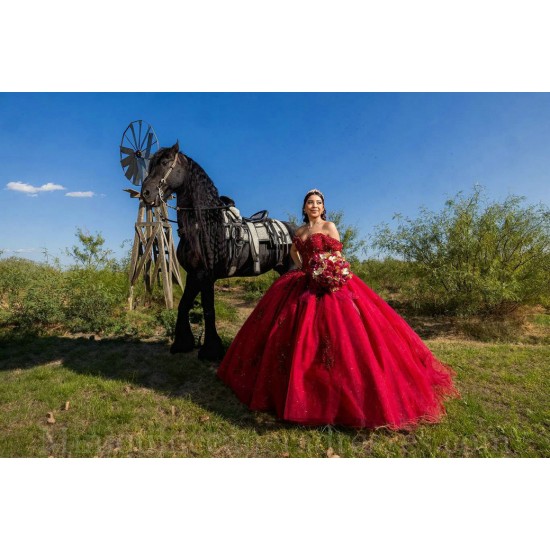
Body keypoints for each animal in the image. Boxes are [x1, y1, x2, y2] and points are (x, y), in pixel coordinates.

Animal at [140, 143, 300, 362]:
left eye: (165, 162)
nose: (145, 193)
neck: (202, 226)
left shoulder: (206, 275)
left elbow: (208, 310)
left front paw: (211, 350)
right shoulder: (193, 274)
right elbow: (184, 305)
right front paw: (183, 343)